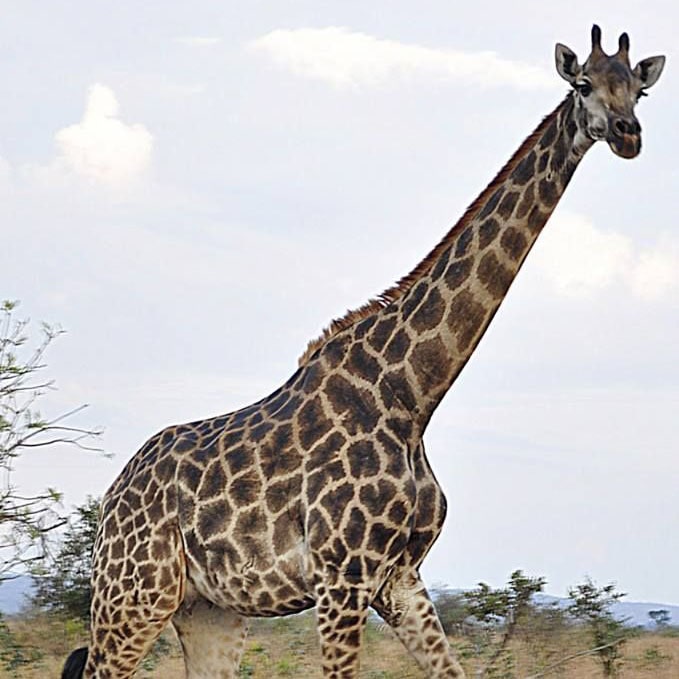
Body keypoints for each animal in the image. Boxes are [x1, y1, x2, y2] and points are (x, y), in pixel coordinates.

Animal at [62, 26, 664, 679]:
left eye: (638, 90)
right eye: (582, 84)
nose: (627, 134)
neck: (414, 395)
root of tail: (114, 494)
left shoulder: (399, 577)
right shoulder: (342, 577)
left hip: (209, 609)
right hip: (133, 593)